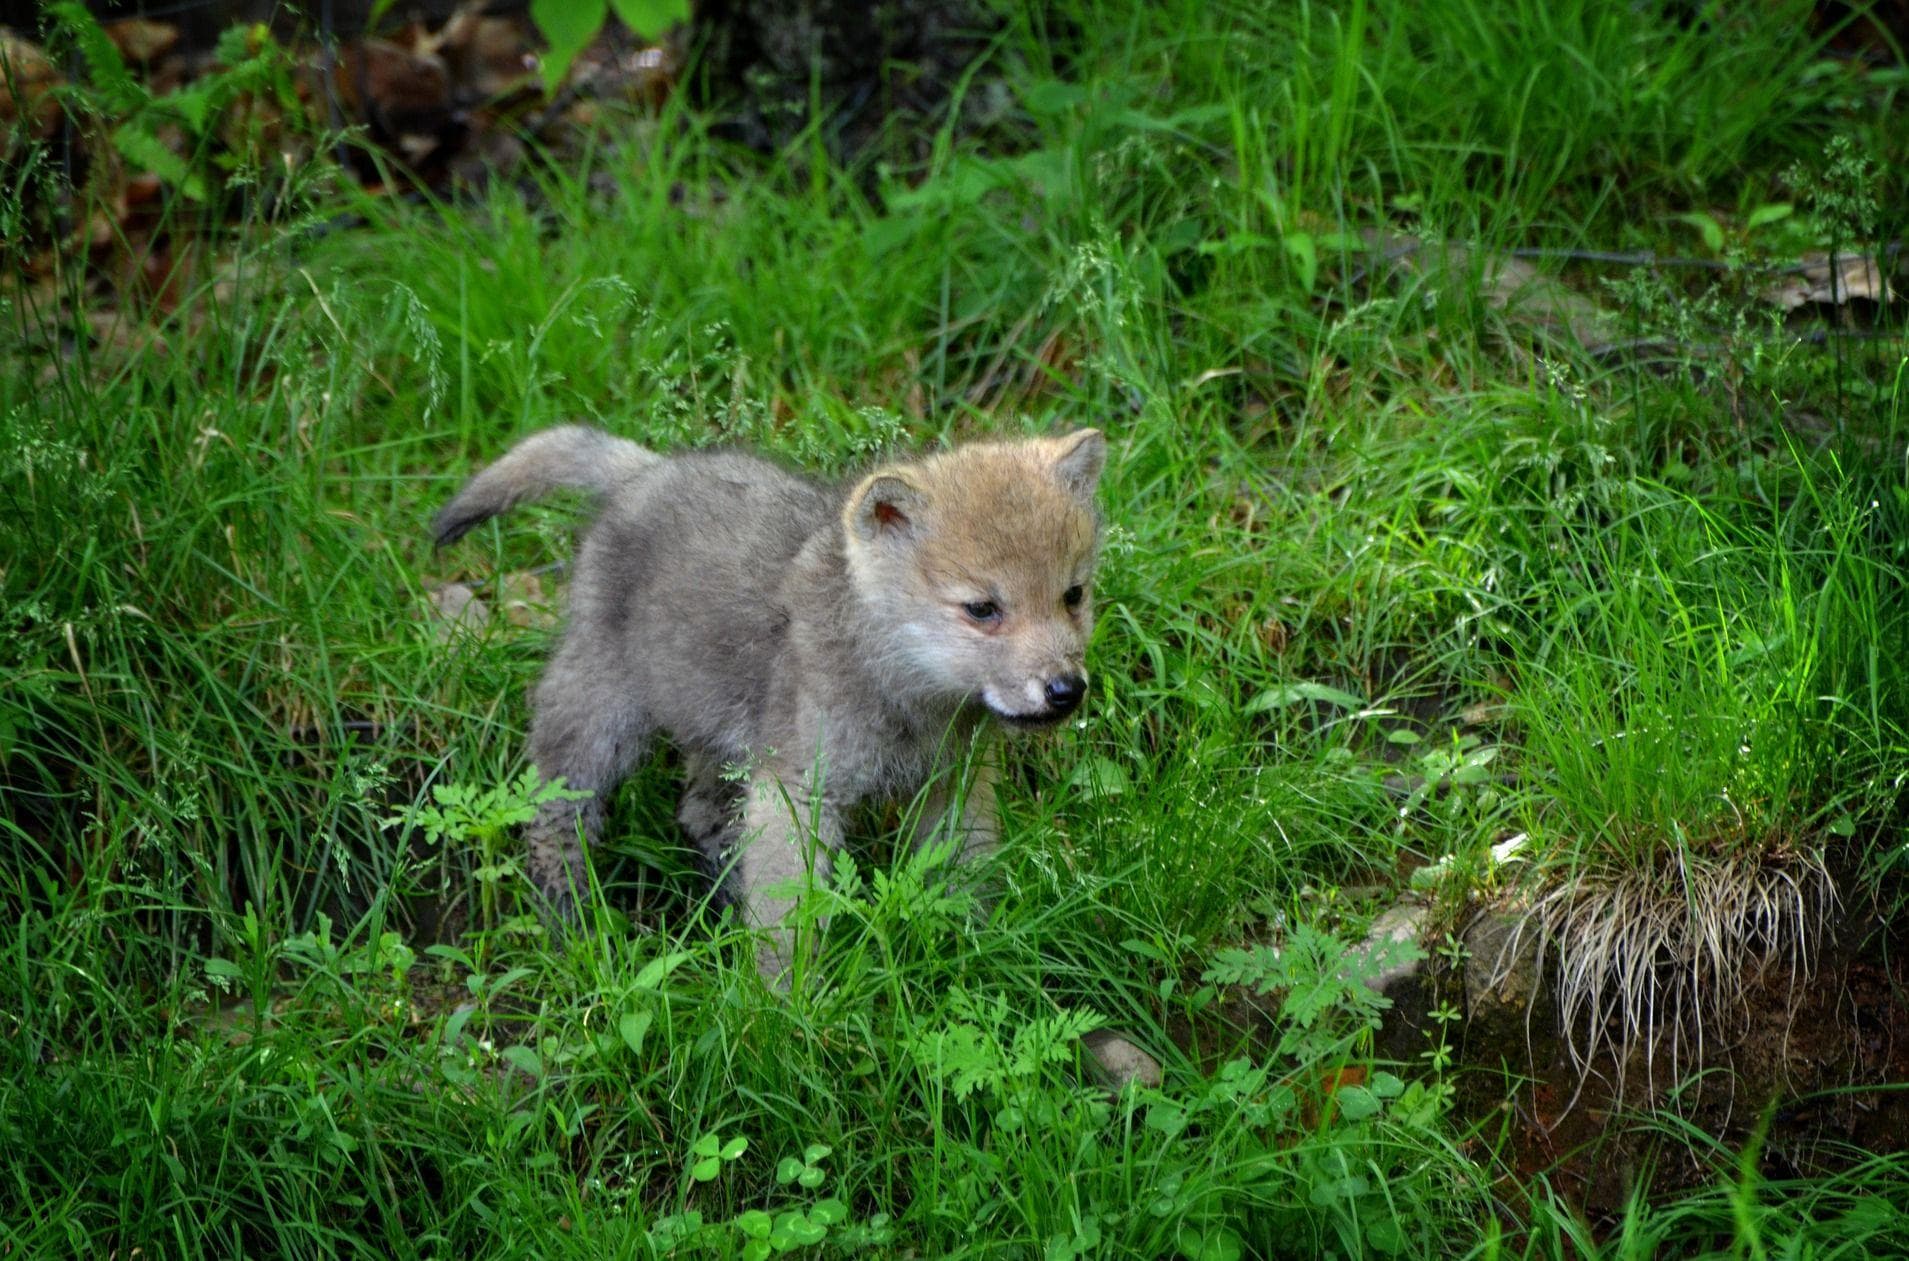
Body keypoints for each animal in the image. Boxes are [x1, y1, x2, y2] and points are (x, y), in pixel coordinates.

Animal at [433, 424, 1106, 979]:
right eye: (982, 609)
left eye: (1073, 595)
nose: (1066, 690)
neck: (902, 691)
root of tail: (644, 472)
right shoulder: (798, 789)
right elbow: (791, 916)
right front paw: (785, 1005)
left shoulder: (953, 782)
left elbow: (964, 873)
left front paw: (974, 951)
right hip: (601, 714)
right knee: (553, 812)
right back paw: (572, 919)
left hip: (716, 728)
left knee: (699, 813)